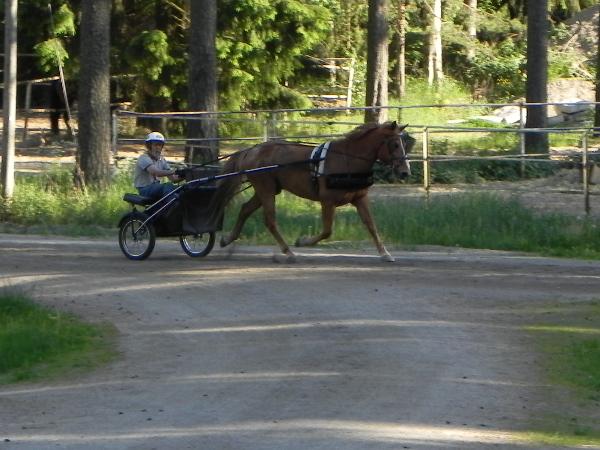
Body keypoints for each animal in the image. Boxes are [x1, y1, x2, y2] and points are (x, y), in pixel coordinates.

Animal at [212, 121, 415, 262]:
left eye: (404, 144)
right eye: (394, 144)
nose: (405, 171)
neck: (347, 159)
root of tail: (251, 150)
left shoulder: (360, 198)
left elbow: (371, 226)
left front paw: (385, 253)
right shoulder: (327, 200)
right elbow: (327, 231)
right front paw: (302, 241)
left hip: (267, 189)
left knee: (245, 209)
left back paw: (228, 239)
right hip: (266, 188)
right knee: (270, 220)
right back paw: (288, 252)